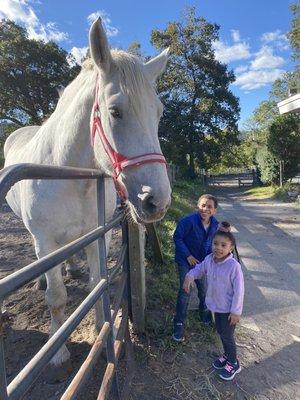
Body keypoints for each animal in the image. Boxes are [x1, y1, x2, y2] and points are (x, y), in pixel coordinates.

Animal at [3, 18, 171, 376]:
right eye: (115, 112)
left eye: (159, 112)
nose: (158, 201)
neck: (68, 174)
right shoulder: (45, 240)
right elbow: (57, 297)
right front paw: (58, 350)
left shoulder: (96, 236)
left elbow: (98, 283)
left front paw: (99, 330)